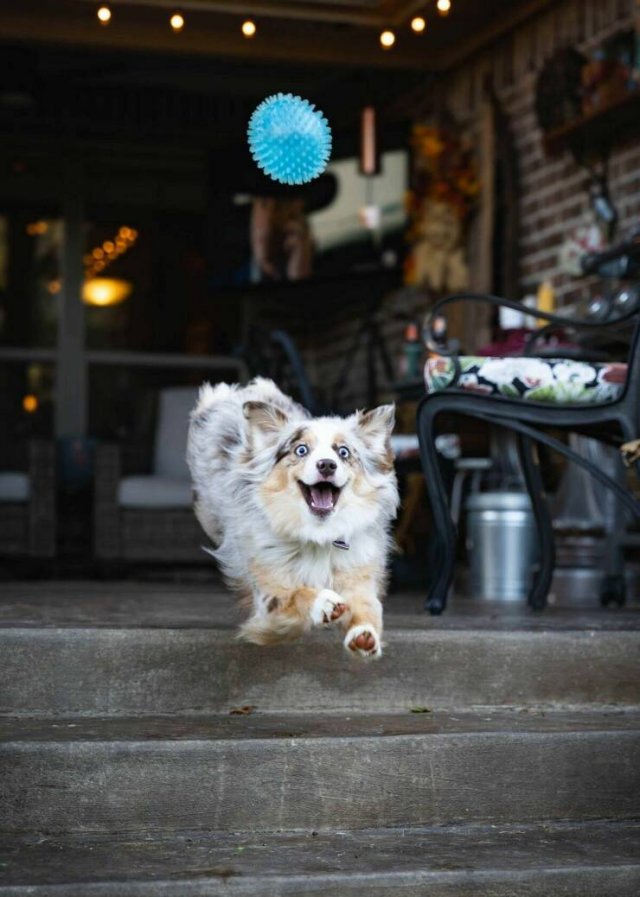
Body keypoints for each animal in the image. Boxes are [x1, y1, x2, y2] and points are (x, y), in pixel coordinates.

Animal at [187, 378, 399, 658]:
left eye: (343, 452)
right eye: (301, 450)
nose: (327, 464)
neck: (319, 534)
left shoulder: (359, 575)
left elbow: (368, 609)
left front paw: (363, 635)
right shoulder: (267, 596)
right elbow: (296, 594)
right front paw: (323, 602)